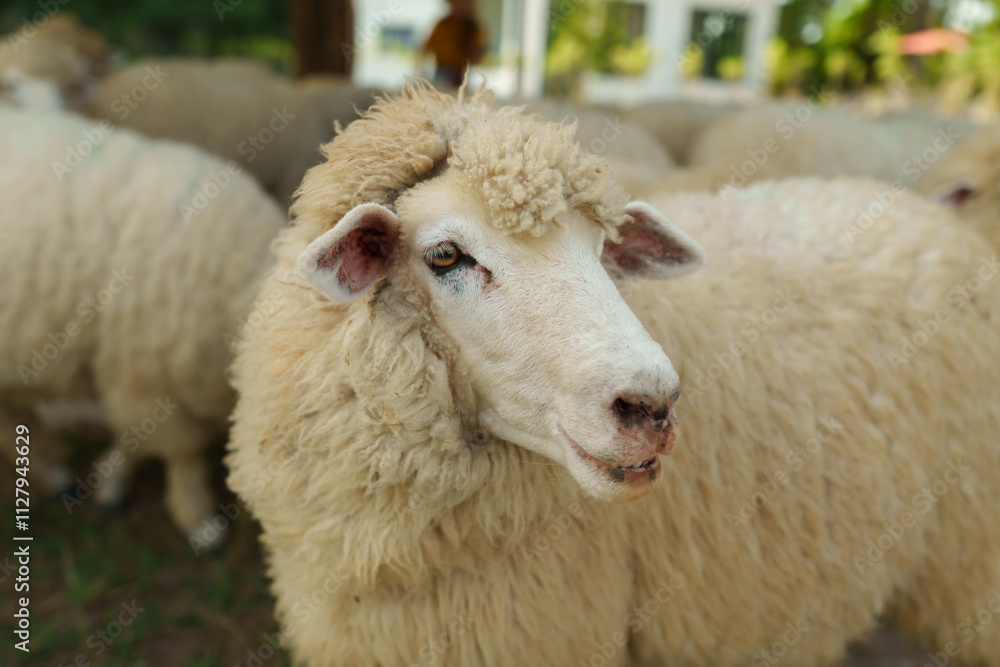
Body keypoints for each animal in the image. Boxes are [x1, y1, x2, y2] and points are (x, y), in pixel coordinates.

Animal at [0, 107, 285, 546]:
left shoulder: (136, 378)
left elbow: (134, 436)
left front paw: (111, 477)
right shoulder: (144, 379)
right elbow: (182, 453)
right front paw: (199, 521)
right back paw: (52, 473)